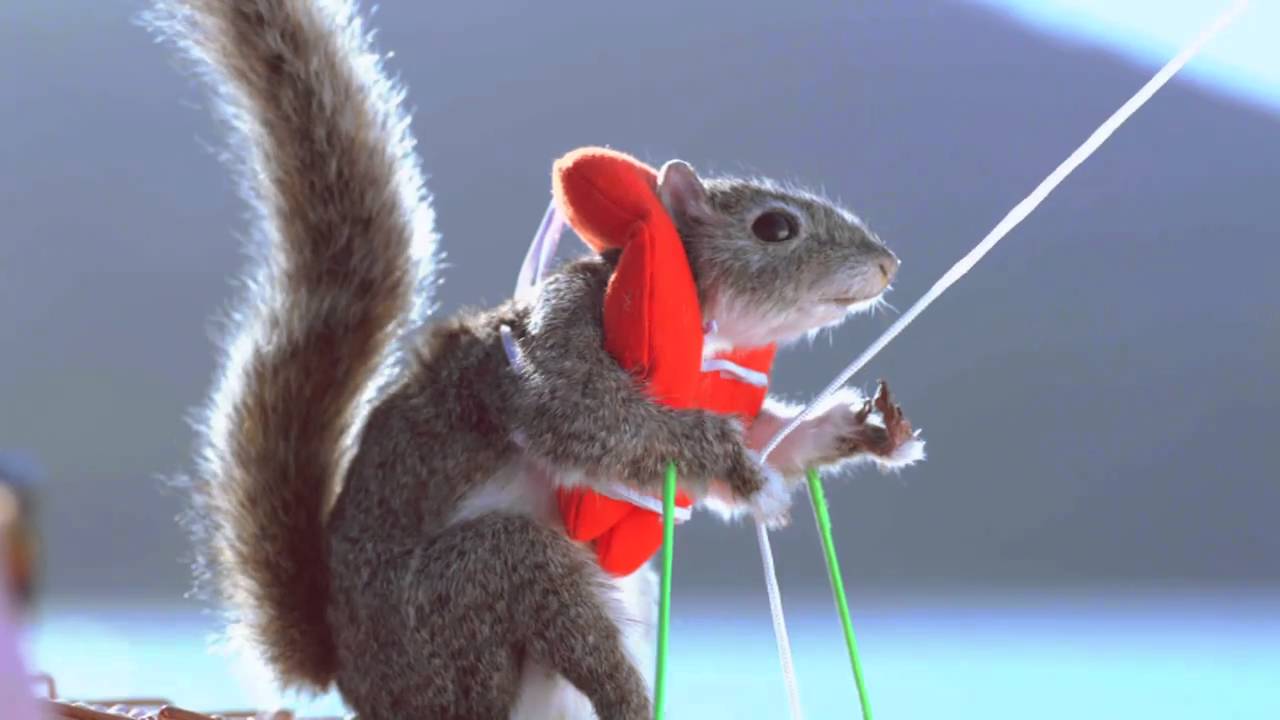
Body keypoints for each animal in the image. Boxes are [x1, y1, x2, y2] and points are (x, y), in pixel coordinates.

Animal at [148, 1, 925, 718]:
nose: (887, 264)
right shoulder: (563, 337)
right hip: (475, 592)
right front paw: (749, 477)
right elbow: (592, 417)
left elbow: (771, 438)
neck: (710, 338)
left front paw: (865, 428)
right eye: (774, 228)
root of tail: (360, 683)